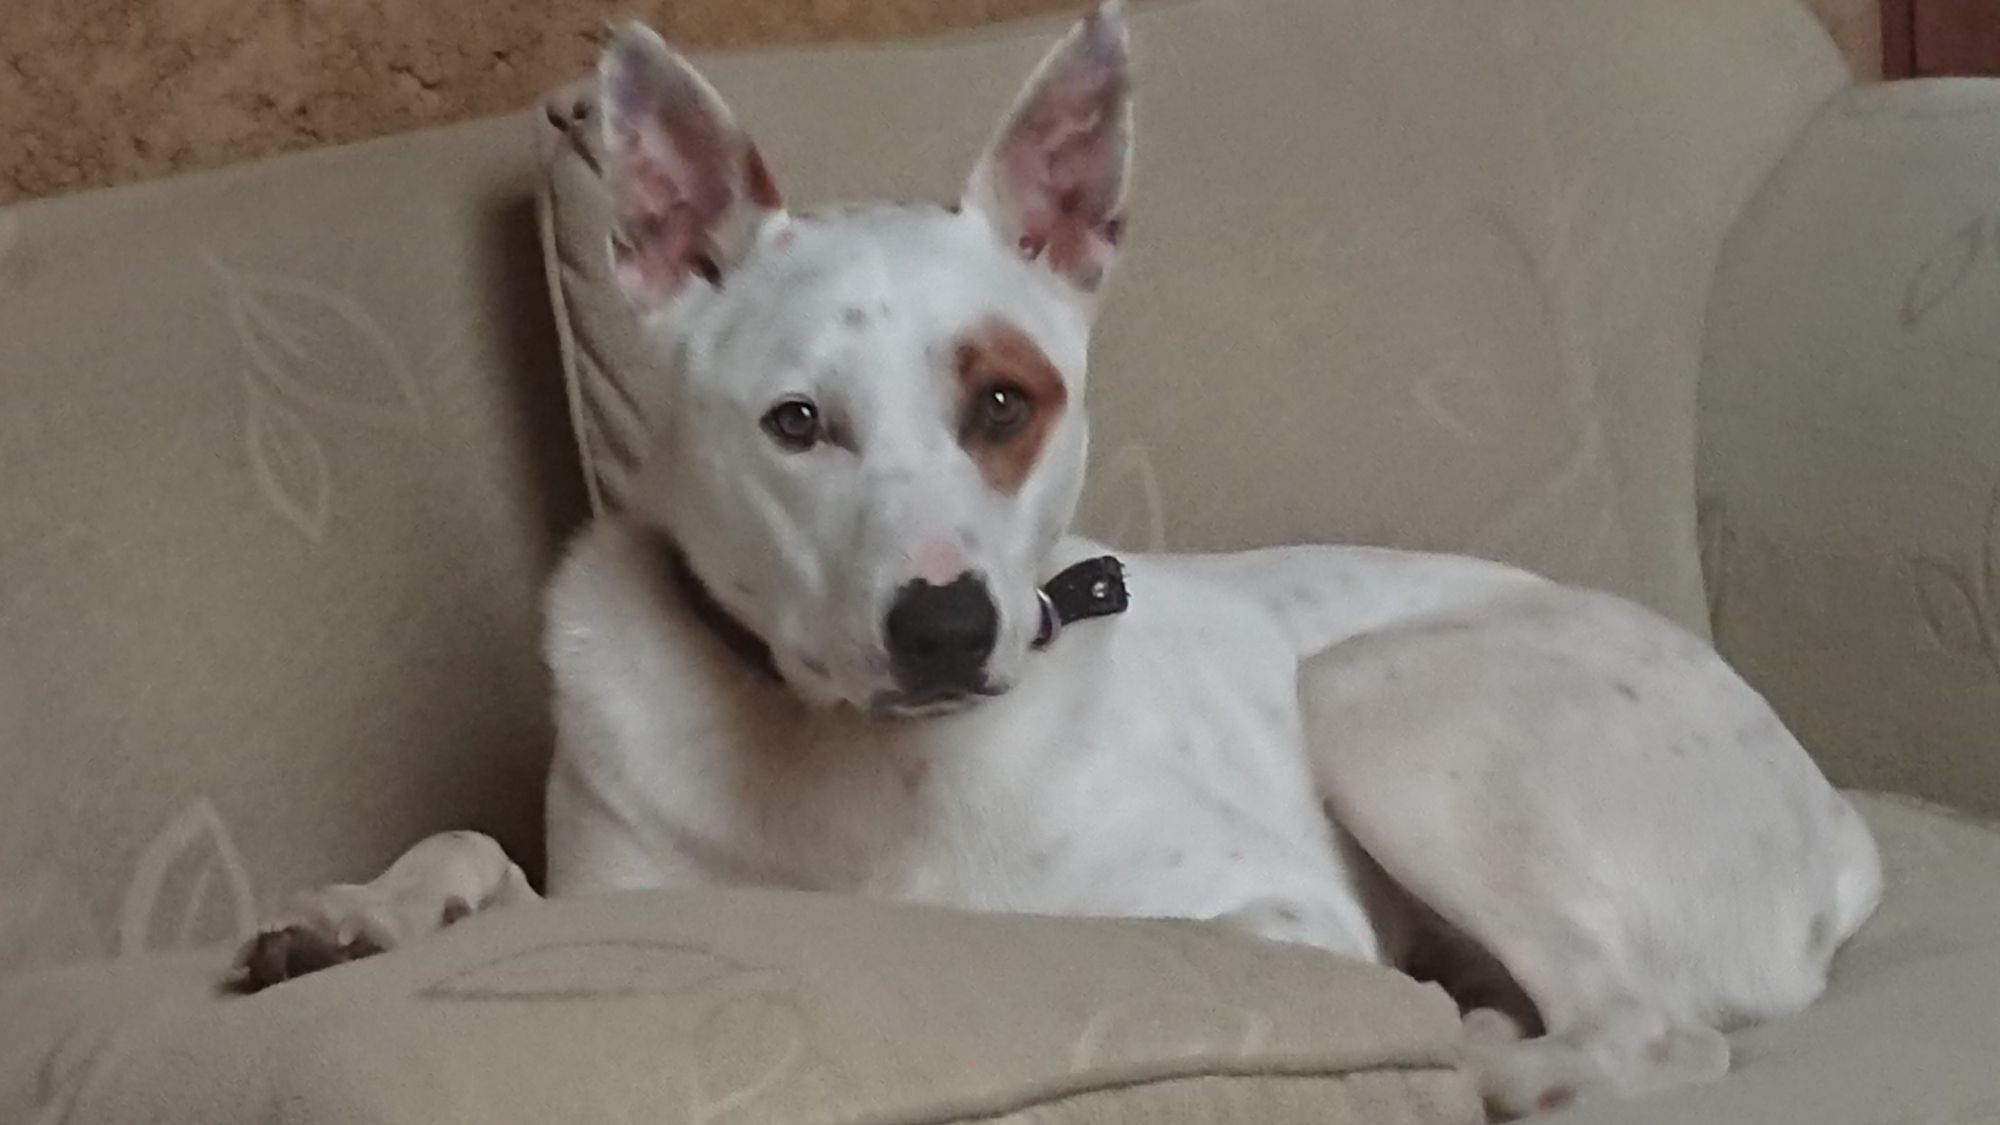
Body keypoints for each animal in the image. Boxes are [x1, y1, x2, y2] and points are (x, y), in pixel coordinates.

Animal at [230, 6, 1872, 1112]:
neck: (843, 765)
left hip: (1382, 697)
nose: (946, 626)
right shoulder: (620, 889)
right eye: (797, 422)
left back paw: (1489, 1050)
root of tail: (1840, 832)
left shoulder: (1284, 911)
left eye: (1005, 406)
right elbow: (478, 859)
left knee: (1649, 1030)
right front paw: (360, 916)